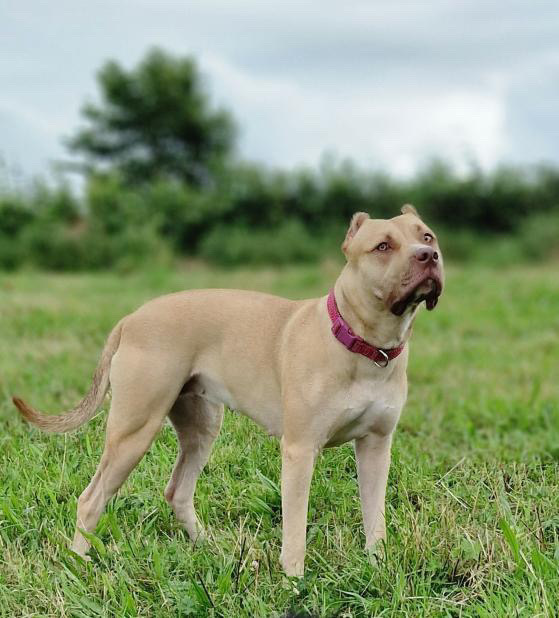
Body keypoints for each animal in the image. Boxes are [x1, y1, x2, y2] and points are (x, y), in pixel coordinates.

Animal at [12, 205, 446, 576]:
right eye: (383, 246)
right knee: (92, 498)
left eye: (426, 235)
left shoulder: (376, 446)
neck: (363, 343)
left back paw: (211, 546)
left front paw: (378, 569)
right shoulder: (300, 450)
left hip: (201, 429)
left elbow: (375, 517)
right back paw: (78, 562)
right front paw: (294, 583)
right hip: (133, 432)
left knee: (178, 490)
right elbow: (295, 529)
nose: (428, 255)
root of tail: (130, 319)